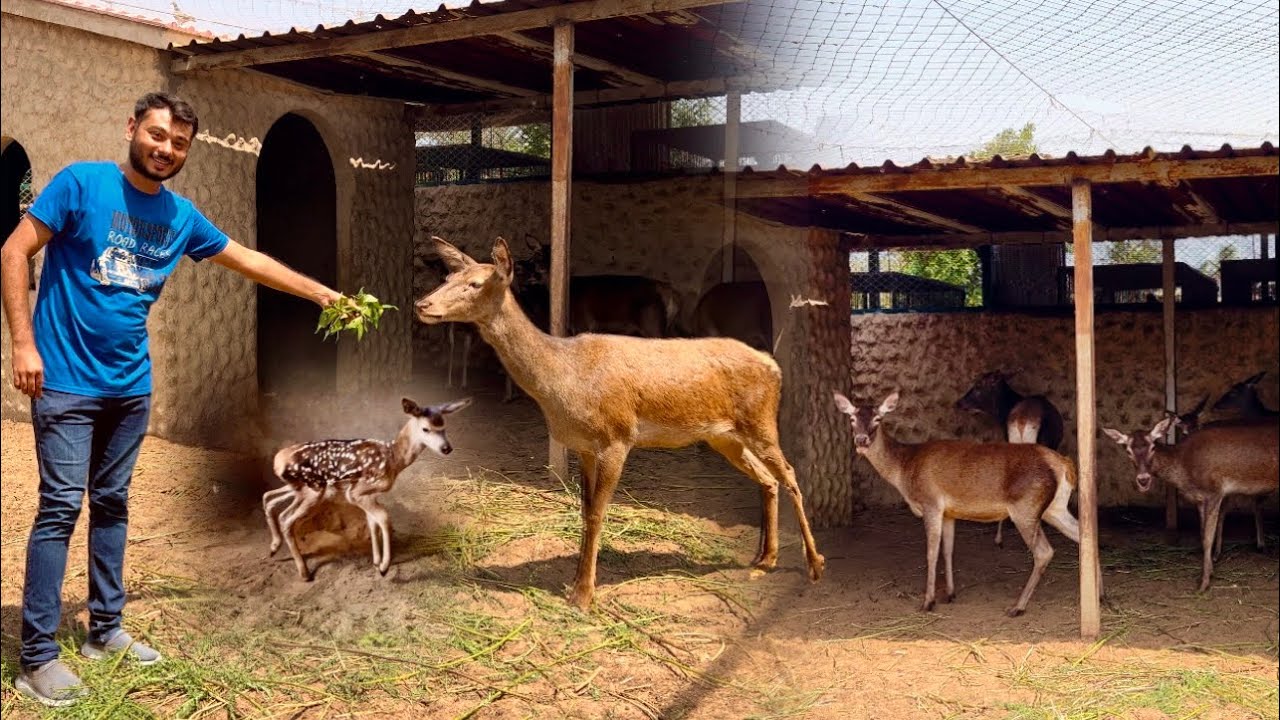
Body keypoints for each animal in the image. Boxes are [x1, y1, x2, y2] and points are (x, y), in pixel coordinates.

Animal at [262, 397, 472, 580]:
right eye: (425, 428)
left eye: (444, 427)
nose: (447, 448)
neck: (394, 458)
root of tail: (278, 460)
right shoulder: (356, 491)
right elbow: (384, 518)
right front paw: (384, 567)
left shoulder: (371, 495)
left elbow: (373, 522)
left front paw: (376, 561)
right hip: (314, 490)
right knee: (286, 518)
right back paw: (304, 572)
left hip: (301, 489)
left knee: (269, 499)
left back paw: (274, 548)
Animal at [415, 236, 825, 610]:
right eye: (448, 276)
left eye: (475, 283)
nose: (422, 304)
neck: (565, 381)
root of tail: (774, 368)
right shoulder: (583, 445)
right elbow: (583, 511)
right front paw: (575, 582)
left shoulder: (617, 438)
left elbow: (598, 513)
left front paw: (583, 596)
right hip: (724, 436)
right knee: (768, 479)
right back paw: (763, 559)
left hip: (761, 421)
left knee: (790, 474)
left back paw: (814, 564)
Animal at [834, 389, 1092, 617]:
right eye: (852, 418)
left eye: (877, 418)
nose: (861, 440)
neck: (905, 469)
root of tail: (1064, 465)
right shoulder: (949, 512)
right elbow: (948, 550)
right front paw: (950, 593)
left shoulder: (931, 503)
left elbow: (931, 553)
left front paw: (928, 602)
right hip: (1055, 507)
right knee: (1083, 536)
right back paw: (1096, 595)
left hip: (1025, 507)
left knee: (1044, 552)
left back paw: (1018, 607)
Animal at [1103, 415, 1278, 591]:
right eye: (1128, 450)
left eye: (1153, 447)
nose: (1143, 479)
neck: (1185, 471)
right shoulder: (1200, 499)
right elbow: (1202, 534)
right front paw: (1210, 571)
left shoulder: (1215, 492)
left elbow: (1208, 538)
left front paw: (1204, 583)